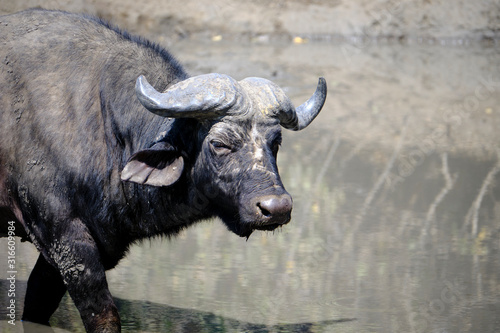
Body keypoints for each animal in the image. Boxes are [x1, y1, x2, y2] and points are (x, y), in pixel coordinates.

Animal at [0, 9, 326, 330]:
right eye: (219, 143)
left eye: (276, 142)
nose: (277, 207)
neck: (102, 123)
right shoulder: (64, 237)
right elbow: (104, 314)